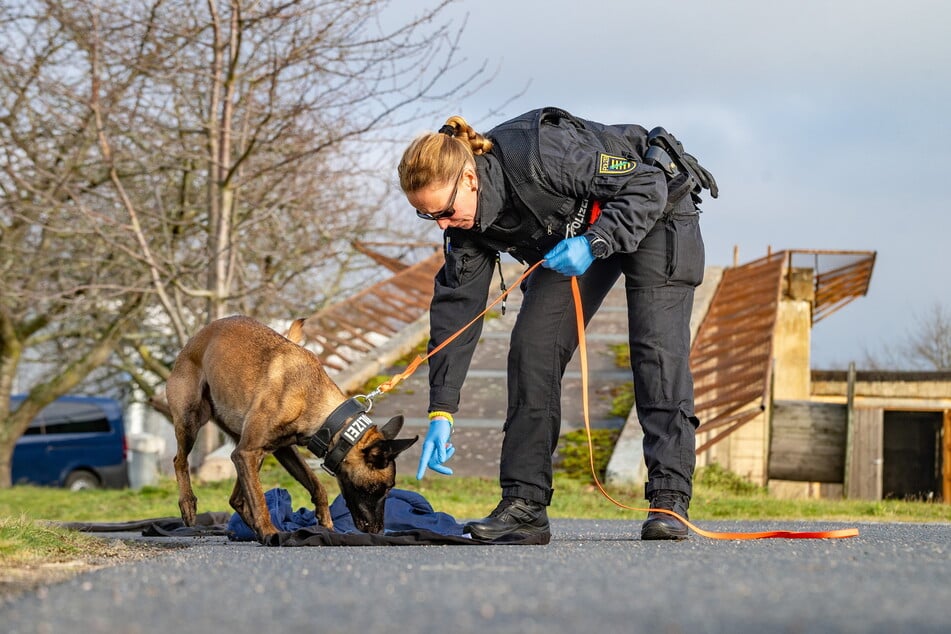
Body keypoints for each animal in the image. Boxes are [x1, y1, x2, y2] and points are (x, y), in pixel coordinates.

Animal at [166, 314, 416, 540]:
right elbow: (259, 499)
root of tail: (196, 337)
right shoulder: (246, 452)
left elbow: (316, 485)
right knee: (179, 461)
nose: (378, 531)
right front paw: (270, 533)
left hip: (250, 449)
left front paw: (326, 526)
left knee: (236, 498)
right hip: (191, 419)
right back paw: (188, 504)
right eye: (378, 489)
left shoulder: (281, 449)